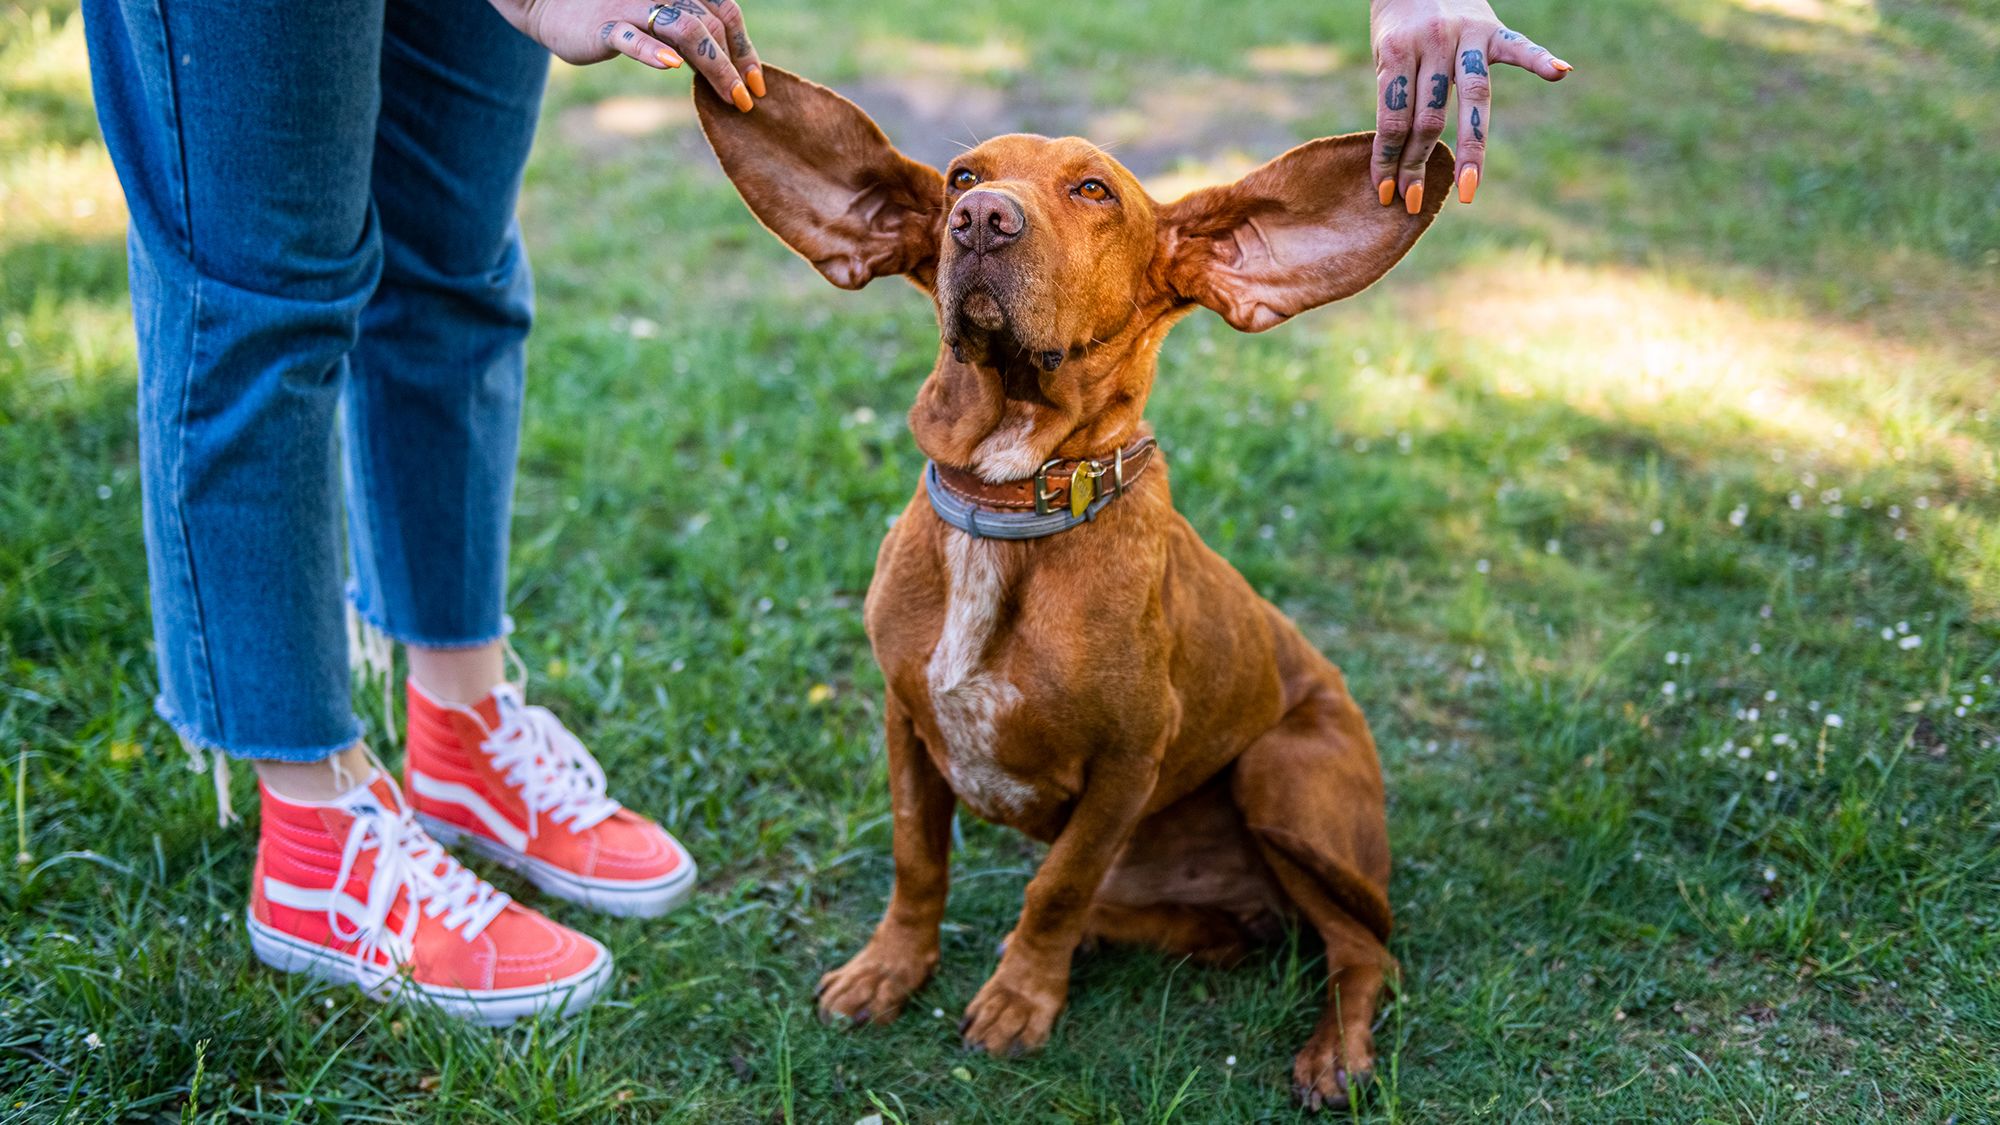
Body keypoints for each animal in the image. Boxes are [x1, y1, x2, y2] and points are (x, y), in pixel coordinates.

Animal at [696, 63, 1448, 1104]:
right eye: (963, 174)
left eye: (1095, 191)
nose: (979, 219)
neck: (1011, 498)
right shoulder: (903, 719)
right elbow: (917, 862)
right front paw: (892, 968)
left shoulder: (1129, 762)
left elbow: (1054, 886)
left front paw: (1022, 997)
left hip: (1282, 781)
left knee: (1365, 946)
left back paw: (1334, 1050)